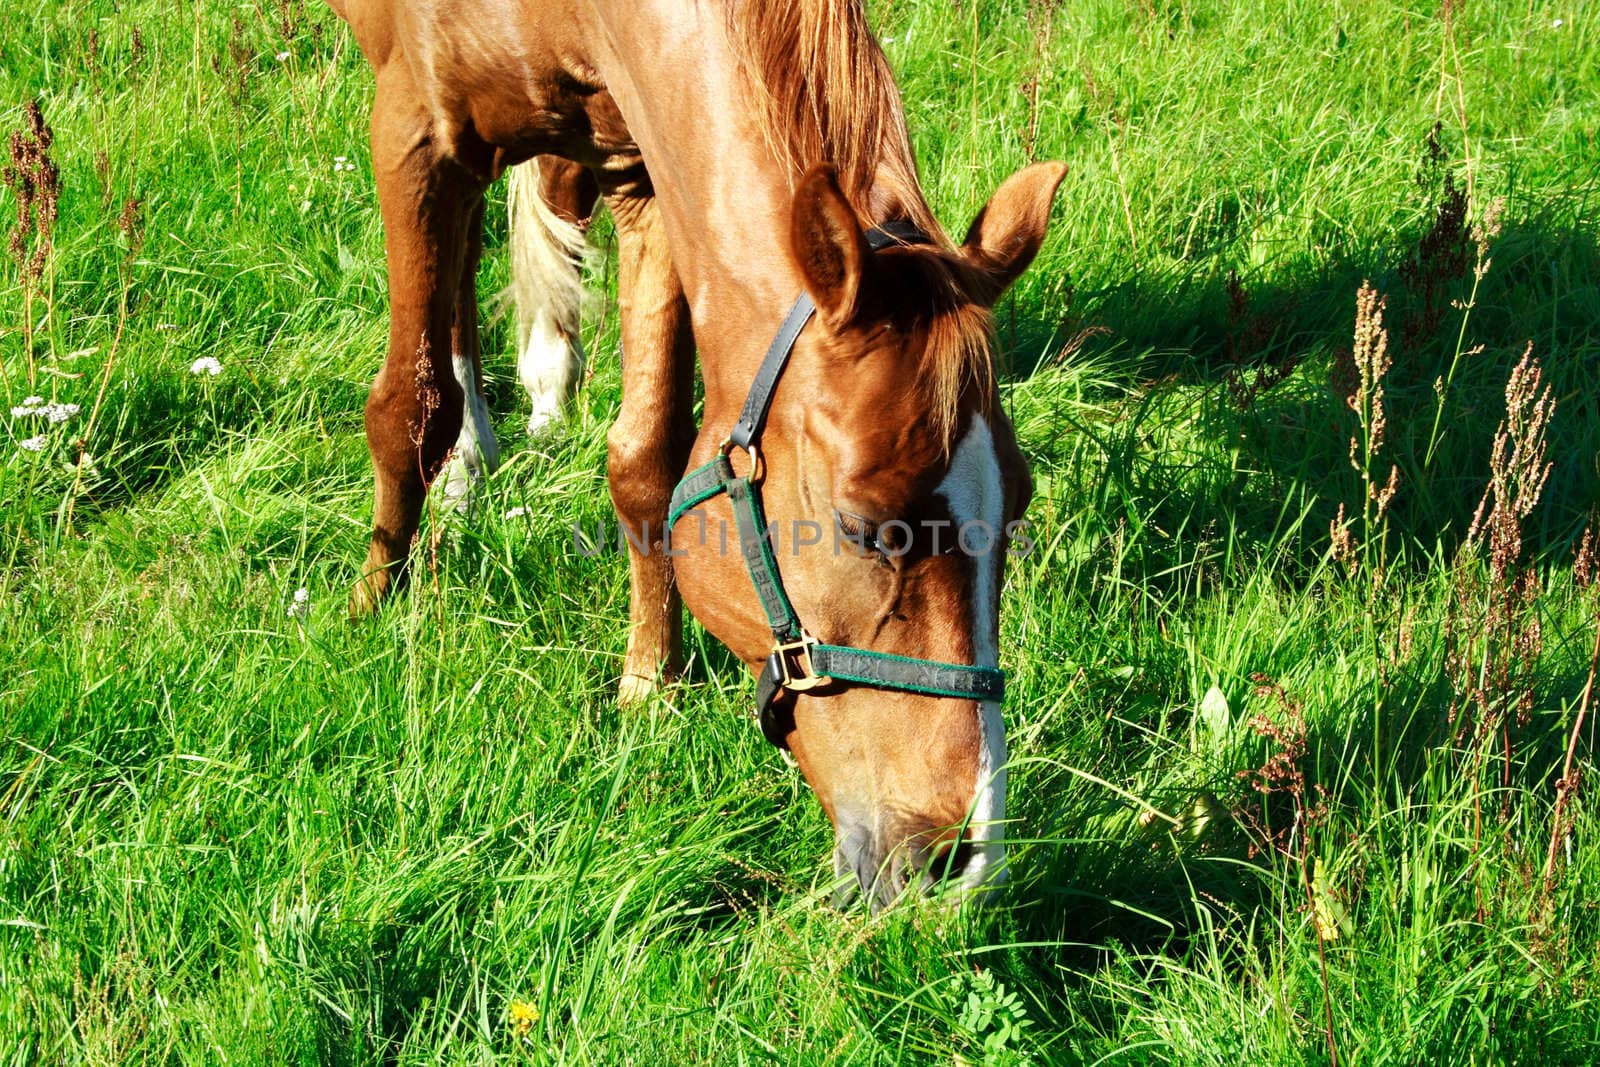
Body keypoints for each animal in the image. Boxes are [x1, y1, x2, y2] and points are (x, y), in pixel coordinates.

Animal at [328, 0, 1062, 908]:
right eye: (866, 525)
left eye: (1017, 506)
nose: (963, 861)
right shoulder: (414, 130)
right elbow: (409, 407)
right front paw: (368, 604)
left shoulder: (647, 175)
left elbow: (647, 460)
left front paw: (649, 685)